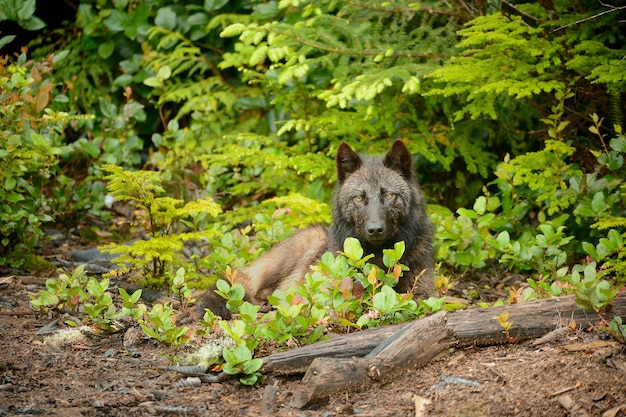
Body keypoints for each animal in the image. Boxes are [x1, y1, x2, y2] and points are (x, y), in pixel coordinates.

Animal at [197, 140, 432, 316]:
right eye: (359, 198)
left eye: (388, 195)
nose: (375, 229)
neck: (378, 258)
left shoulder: (423, 294)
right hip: (307, 241)